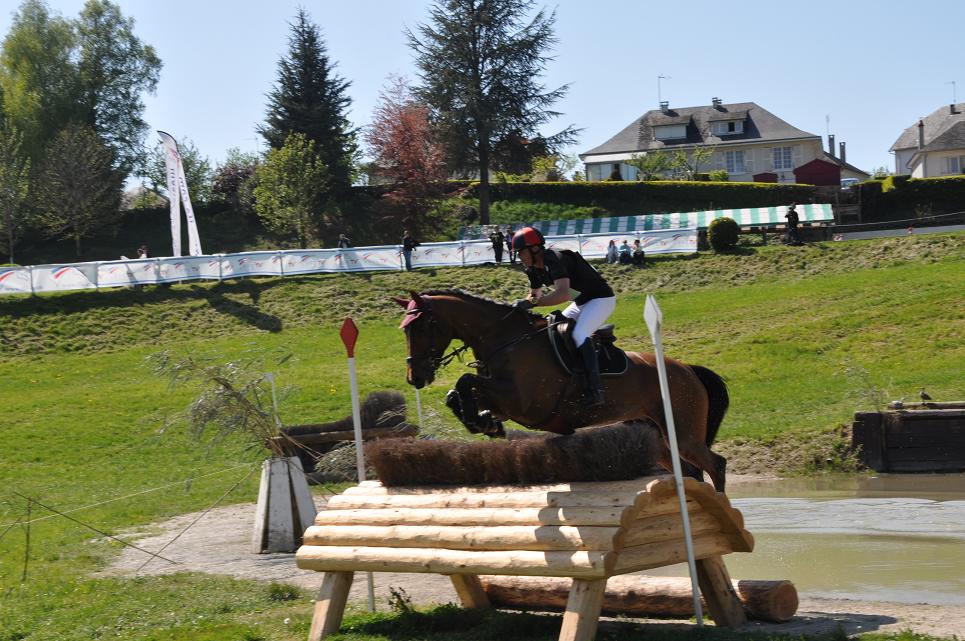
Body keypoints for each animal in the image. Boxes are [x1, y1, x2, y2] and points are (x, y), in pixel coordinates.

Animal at [392, 288, 732, 492]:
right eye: (404, 330)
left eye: (420, 326)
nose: (414, 377)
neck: (505, 340)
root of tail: (687, 369)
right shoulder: (502, 399)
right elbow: (459, 393)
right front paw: (483, 422)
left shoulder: (522, 402)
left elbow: (465, 381)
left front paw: (482, 421)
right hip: (657, 436)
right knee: (689, 470)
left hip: (683, 431)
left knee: (715, 465)